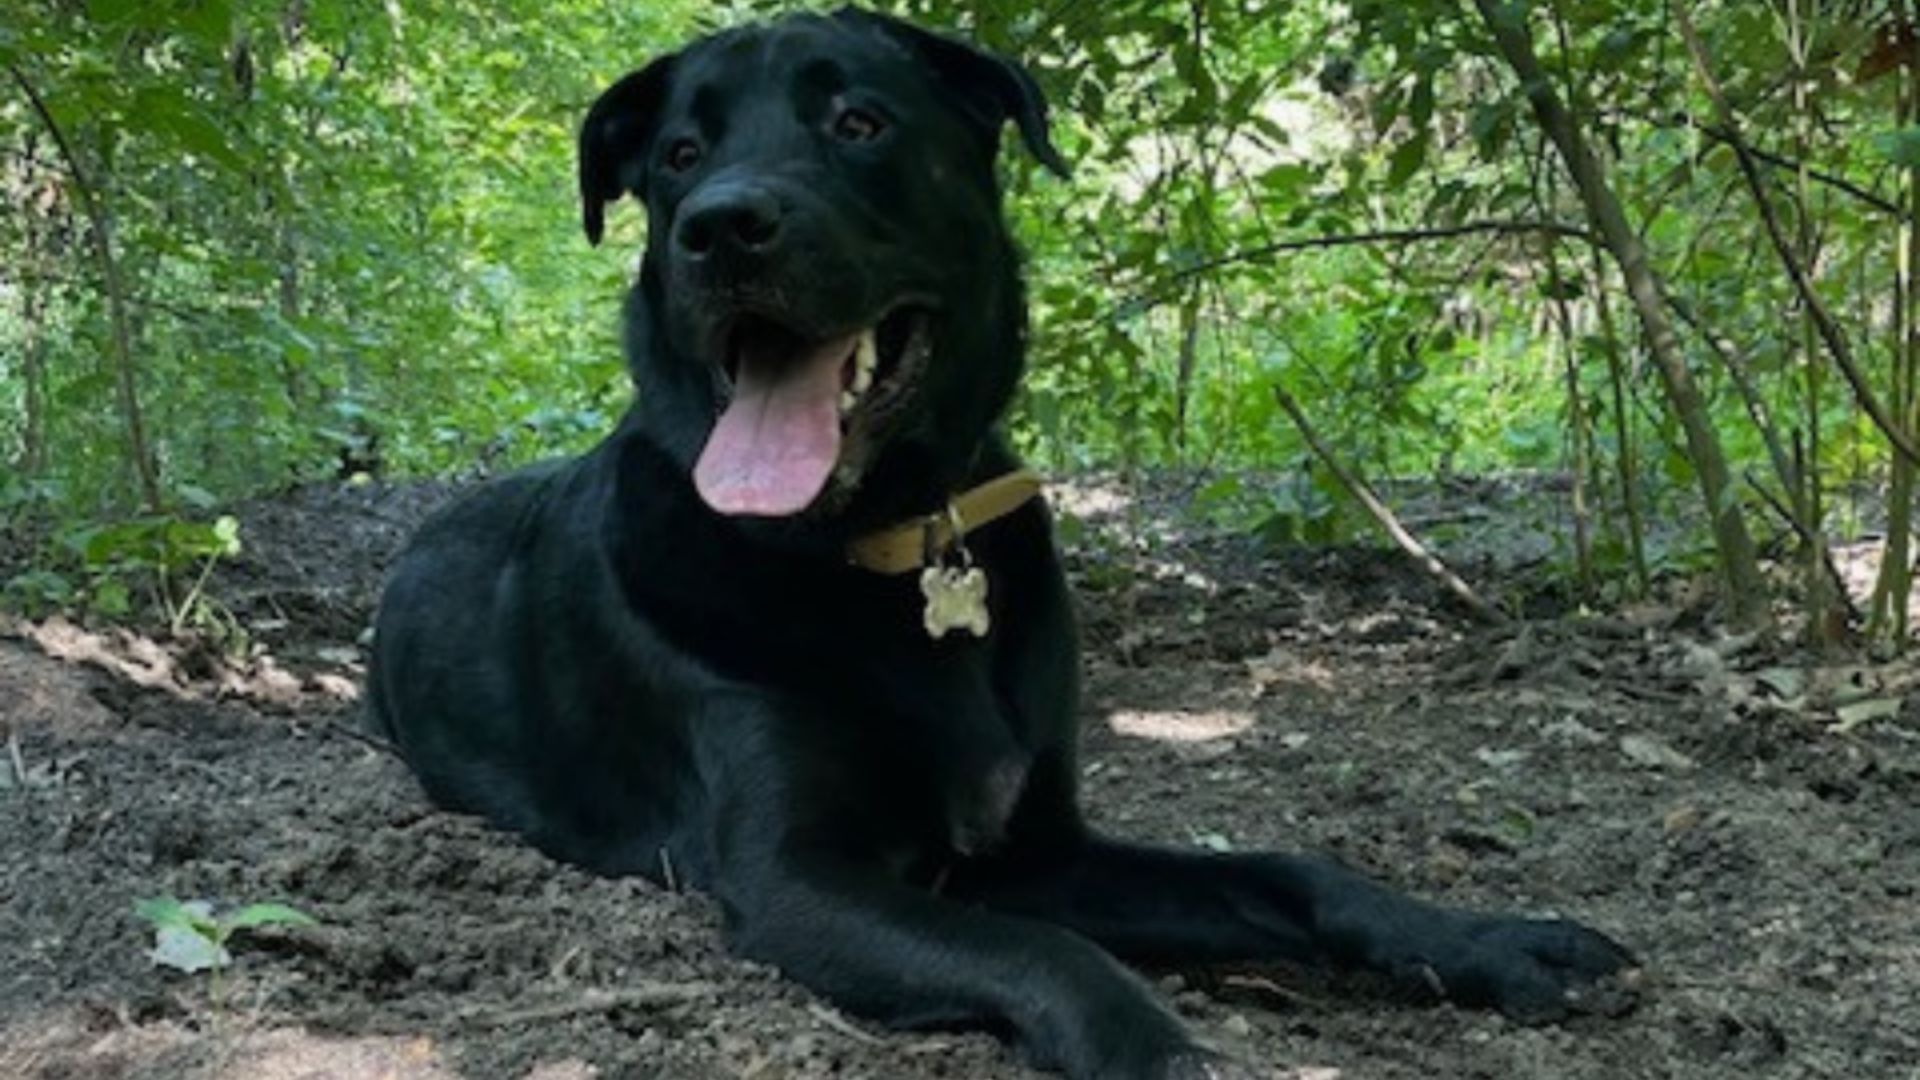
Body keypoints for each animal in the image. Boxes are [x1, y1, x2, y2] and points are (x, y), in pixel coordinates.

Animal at [362, 10, 1635, 1076]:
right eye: (676, 156)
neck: (888, 541)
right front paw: (1162, 1056)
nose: (721, 226)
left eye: (859, 123)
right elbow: (1047, 953)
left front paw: (1484, 939)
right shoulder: (795, 880)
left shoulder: (1043, 852)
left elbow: (1291, 870)